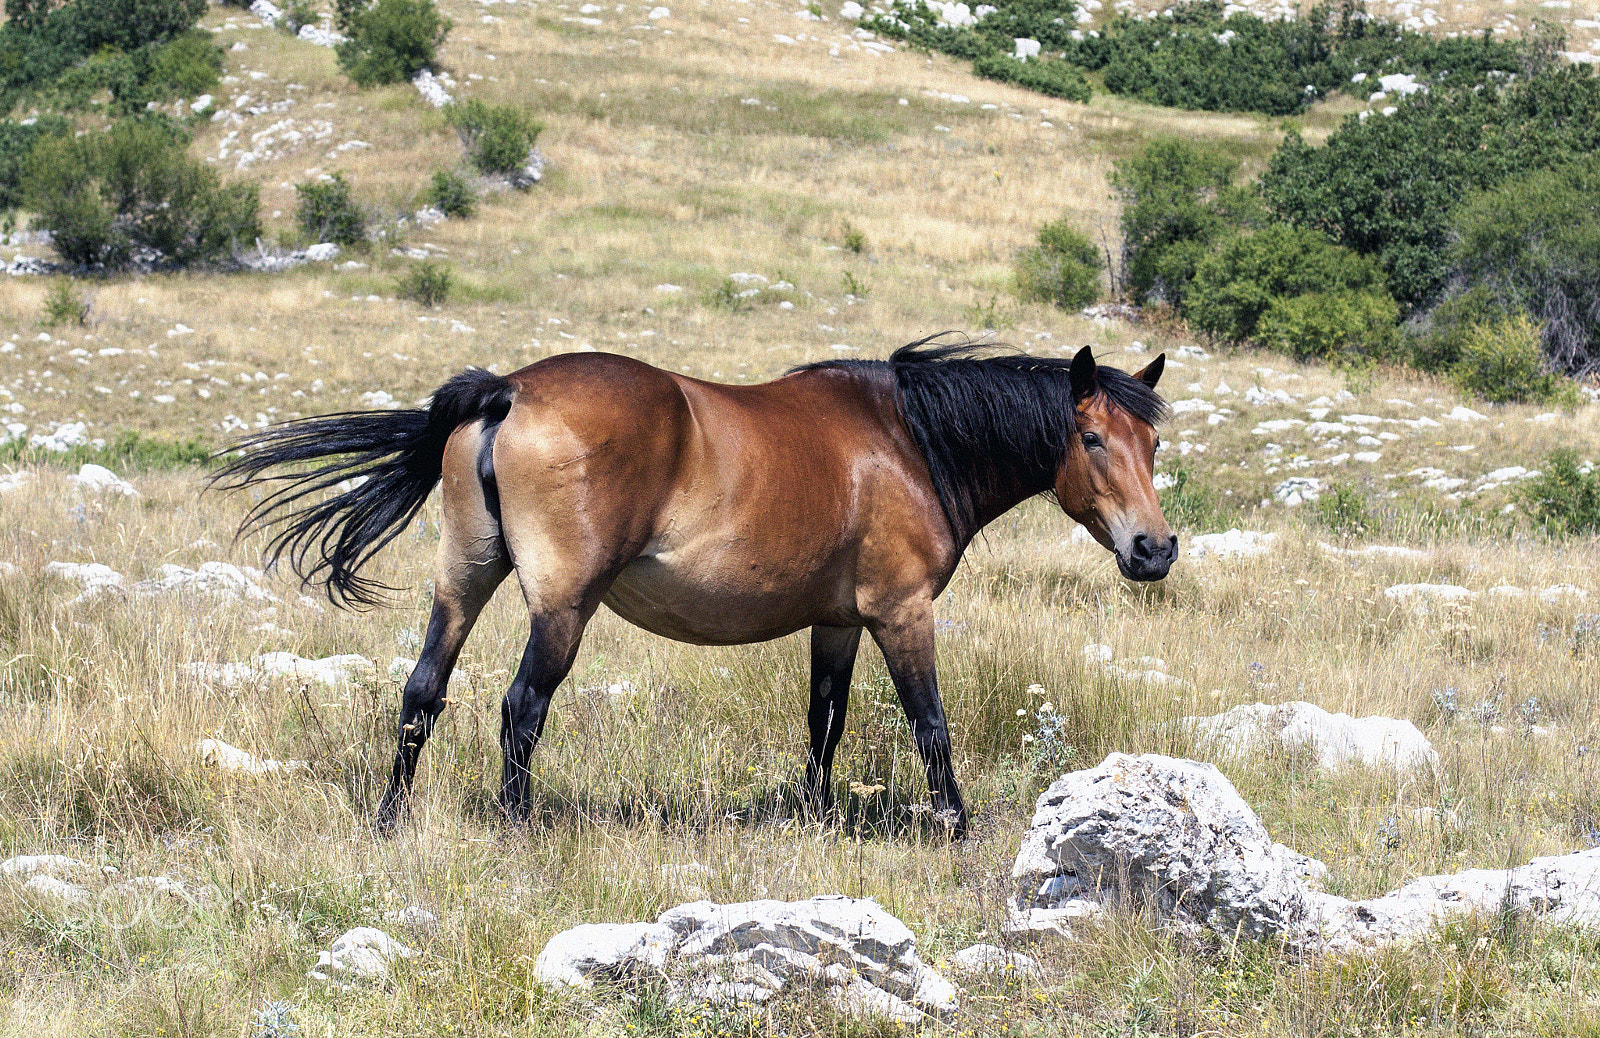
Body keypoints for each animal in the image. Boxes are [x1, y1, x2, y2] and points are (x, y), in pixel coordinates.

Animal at [216, 338, 1174, 837]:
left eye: (1153, 444)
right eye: (1092, 438)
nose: (1155, 549)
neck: (905, 441)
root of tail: (508, 391)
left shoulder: (836, 622)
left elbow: (824, 721)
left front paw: (813, 816)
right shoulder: (900, 614)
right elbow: (930, 725)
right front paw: (957, 828)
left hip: (463, 580)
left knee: (423, 692)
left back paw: (390, 819)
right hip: (561, 607)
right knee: (521, 706)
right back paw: (518, 824)